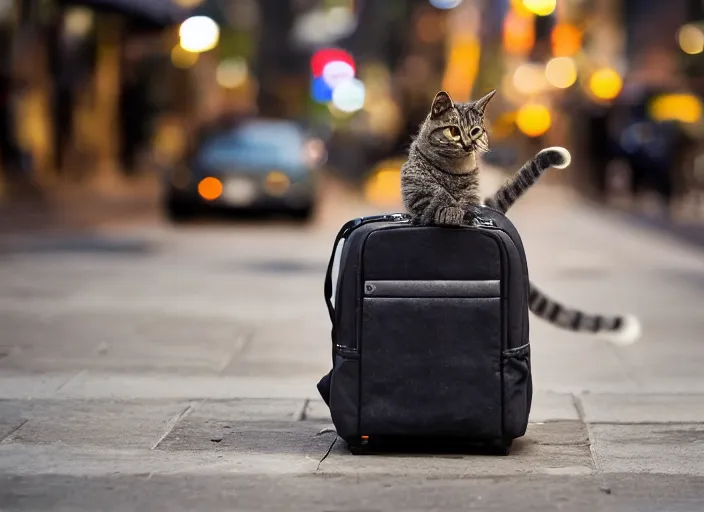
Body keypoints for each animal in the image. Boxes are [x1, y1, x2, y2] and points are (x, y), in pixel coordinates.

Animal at [398, 90, 640, 346]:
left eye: (475, 131)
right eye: (454, 131)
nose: (468, 143)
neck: (454, 170)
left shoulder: (472, 196)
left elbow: (464, 205)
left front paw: (459, 211)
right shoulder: (417, 192)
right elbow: (435, 199)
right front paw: (447, 209)